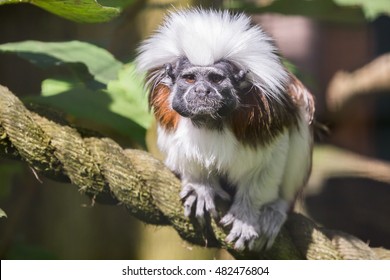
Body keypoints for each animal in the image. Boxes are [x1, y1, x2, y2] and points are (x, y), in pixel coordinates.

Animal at [136, 8, 316, 252]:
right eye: (190, 78)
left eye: (215, 79)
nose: (202, 91)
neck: (210, 122)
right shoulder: (168, 113)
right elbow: (186, 154)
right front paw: (200, 187)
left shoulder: (268, 121)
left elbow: (270, 163)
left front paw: (246, 216)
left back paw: (276, 209)